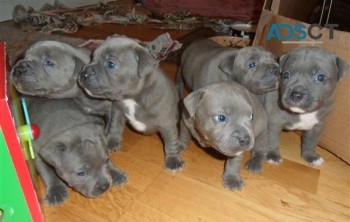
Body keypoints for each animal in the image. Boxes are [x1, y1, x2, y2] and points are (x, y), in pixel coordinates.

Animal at [78, 36, 185, 172]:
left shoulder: (167, 124)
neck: (131, 97)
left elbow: (171, 141)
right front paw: (111, 142)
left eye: (111, 64)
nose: (83, 74)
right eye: (92, 58)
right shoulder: (117, 111)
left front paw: (173, 160)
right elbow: (115, 127)